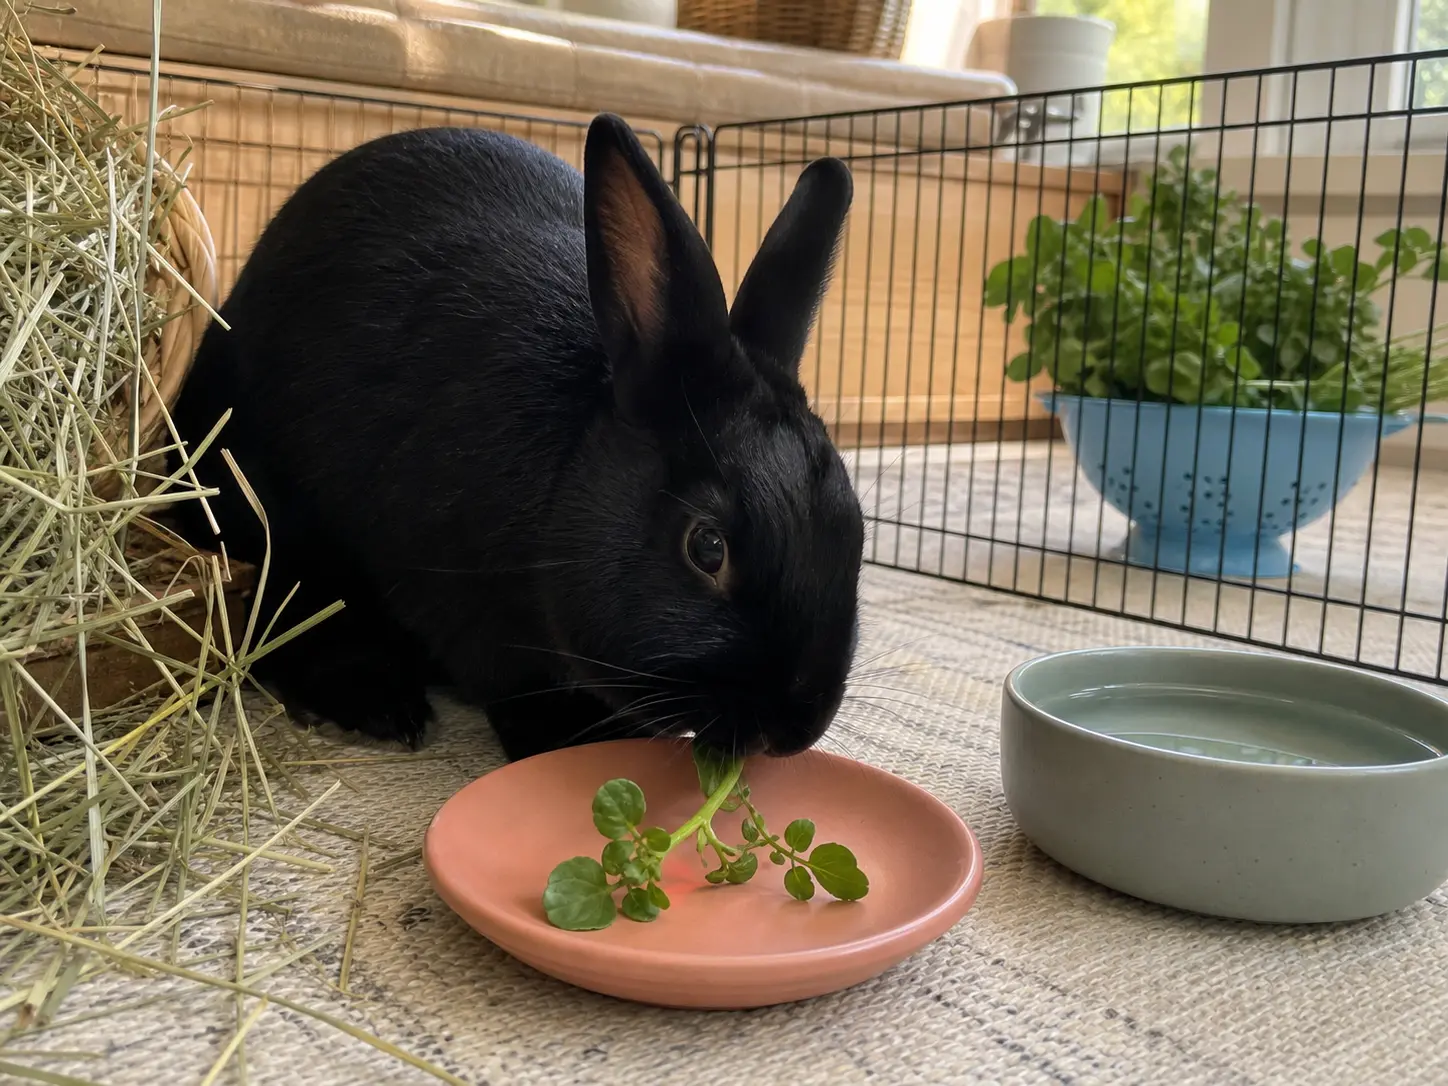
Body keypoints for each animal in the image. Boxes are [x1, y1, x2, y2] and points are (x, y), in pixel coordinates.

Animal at [167, 113, 863, 763]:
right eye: (707, 548)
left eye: (855, 524)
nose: (795, 728)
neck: (568, 470)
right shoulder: (457, 598)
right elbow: (512, 681)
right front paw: (574, 739)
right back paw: (375, 705)